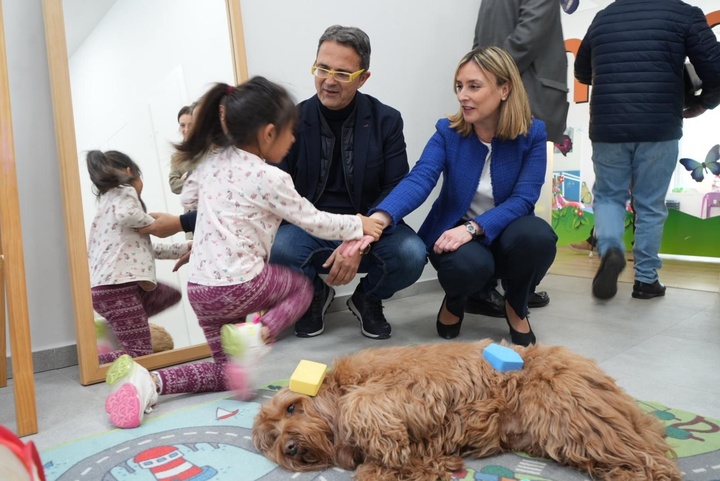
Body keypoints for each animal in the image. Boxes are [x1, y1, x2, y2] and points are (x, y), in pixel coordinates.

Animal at [253, 340, 680, 478]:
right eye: (271, 437)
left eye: (292, 408)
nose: (289, 447)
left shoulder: (413, 384)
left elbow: (364, 403)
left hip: (573, 421)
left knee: (652, 461)